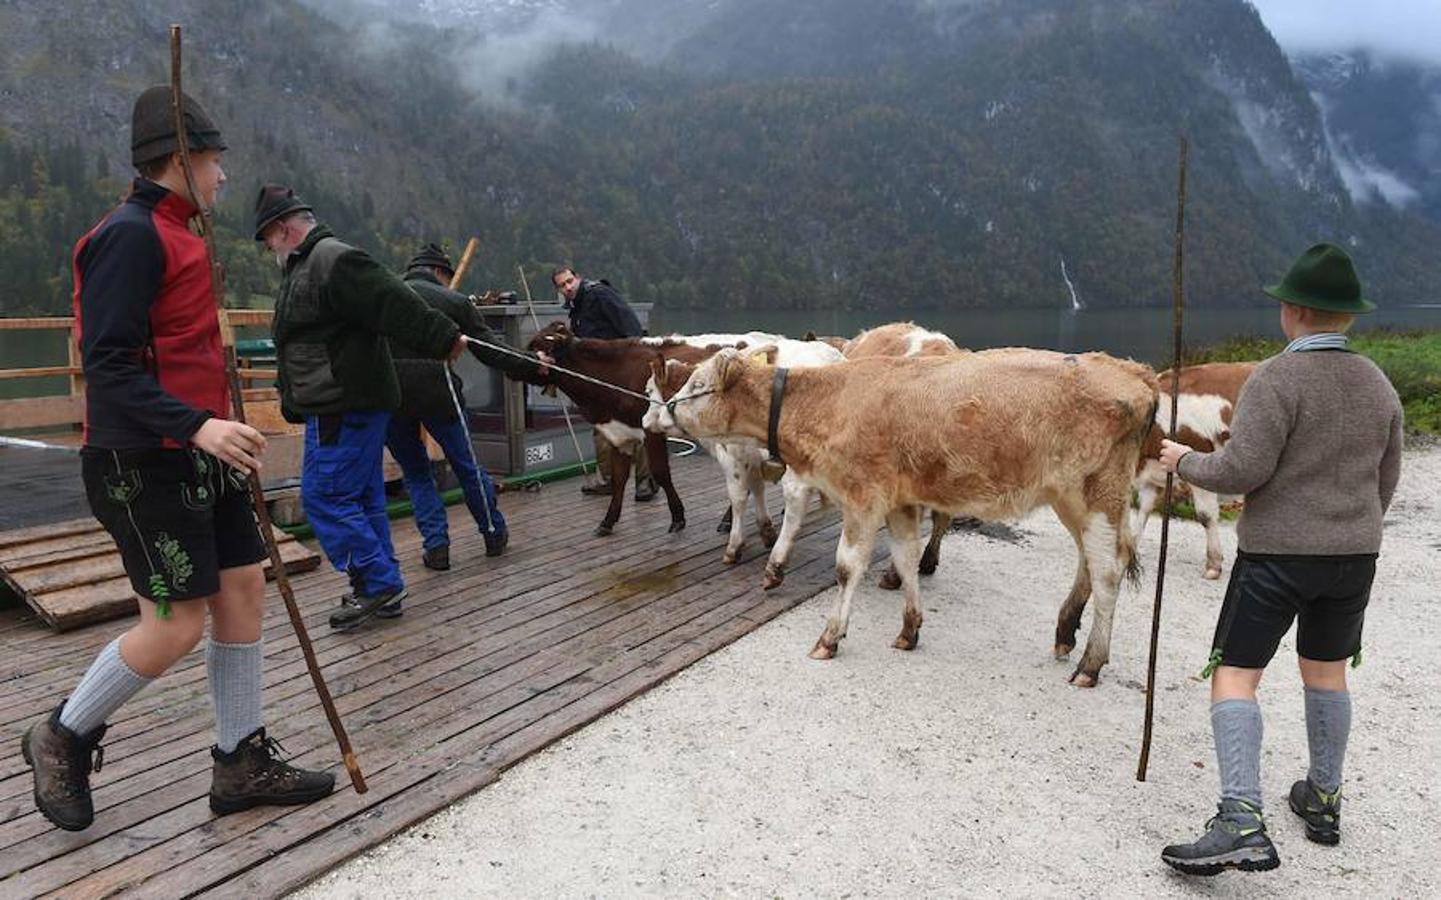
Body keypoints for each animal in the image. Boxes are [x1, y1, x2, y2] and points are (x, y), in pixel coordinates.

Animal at [654, 347, 1158, 685]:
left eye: (695, 385)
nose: (661, 413)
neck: (828, 400)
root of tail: (1133, 370)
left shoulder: (863, 495)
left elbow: (847, 567)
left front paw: (830, 638)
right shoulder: (897, 500)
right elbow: (905, 557)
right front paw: (909, 630)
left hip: (1099, 493)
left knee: (1108, 571)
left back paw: (1090, 664)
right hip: (1070, 497)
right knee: (1089, 562)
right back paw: (1065, 631)